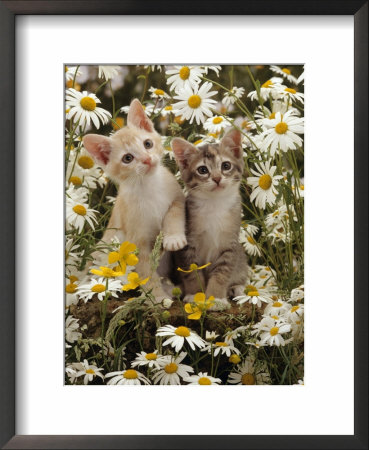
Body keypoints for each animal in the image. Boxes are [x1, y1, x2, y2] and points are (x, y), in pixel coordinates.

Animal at [83, 98, 187, 298]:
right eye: (128, 158)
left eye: (147, 144)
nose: (147, 159)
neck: (147, 186)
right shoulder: (136, 240)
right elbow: (146, 270)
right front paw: (157, 297)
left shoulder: (176, 196)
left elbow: (174, 214)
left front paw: (174, 237)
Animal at [172, 128, 247, 308]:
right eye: (203, 170)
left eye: (226, 166)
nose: (217, 178)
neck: (215, 204)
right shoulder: (188, 244)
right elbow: (192, 272)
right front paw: (195, 295)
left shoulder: (230, 244)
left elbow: (222, 272)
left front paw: (216, 298)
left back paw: (238, 287)